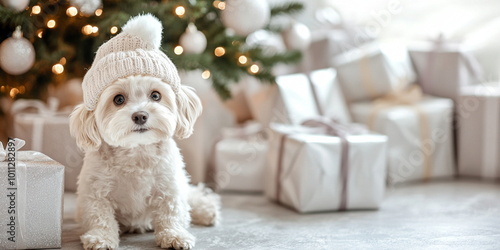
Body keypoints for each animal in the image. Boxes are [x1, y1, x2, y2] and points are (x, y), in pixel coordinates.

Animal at [69, 14, 220, 249]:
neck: (136, 152)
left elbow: (172, 212)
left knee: (191, 195)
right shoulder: (95, 192)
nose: (140, 115)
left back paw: (206, 210)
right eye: (118, 99)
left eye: (156, 95)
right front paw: (101, 237)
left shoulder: (169, 185)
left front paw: (174, 235)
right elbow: (100, 216)